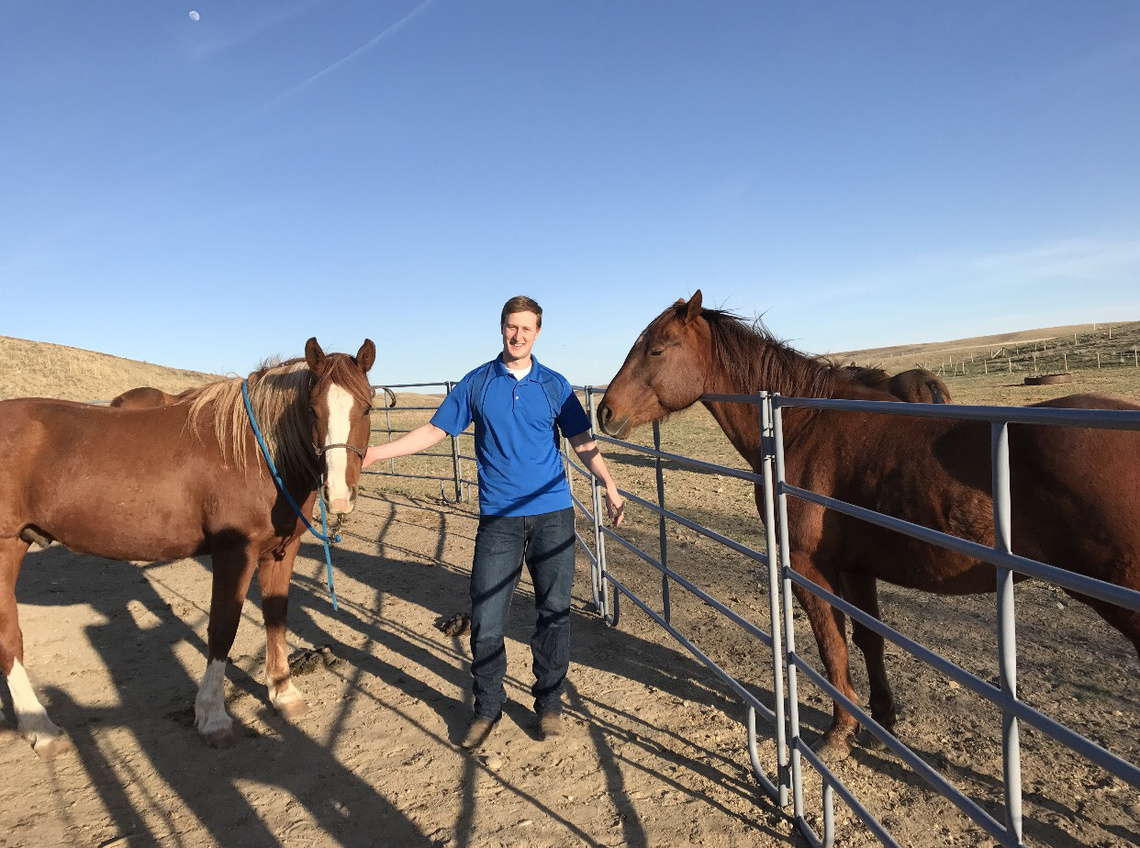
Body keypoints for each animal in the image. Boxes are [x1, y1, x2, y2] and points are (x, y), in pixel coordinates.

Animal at [0, 335, 376, 756]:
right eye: (313, 409)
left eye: (366, 406)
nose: (339, 496)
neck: (254, 454)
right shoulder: (234, 554)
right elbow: (223, 629)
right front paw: (213, 717)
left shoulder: (281, 551)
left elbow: (276, 616)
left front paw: (283, 693)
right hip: (4, 547)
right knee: (8, 636)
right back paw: (40, 727)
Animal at [597, 294, 1140, 761]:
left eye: (657, 348)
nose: (604, 411)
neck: (802, 423)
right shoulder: (857, 569)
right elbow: (868, 640)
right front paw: (881, 721)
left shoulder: (810, 569)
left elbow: (831, 645)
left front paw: (839, 733)